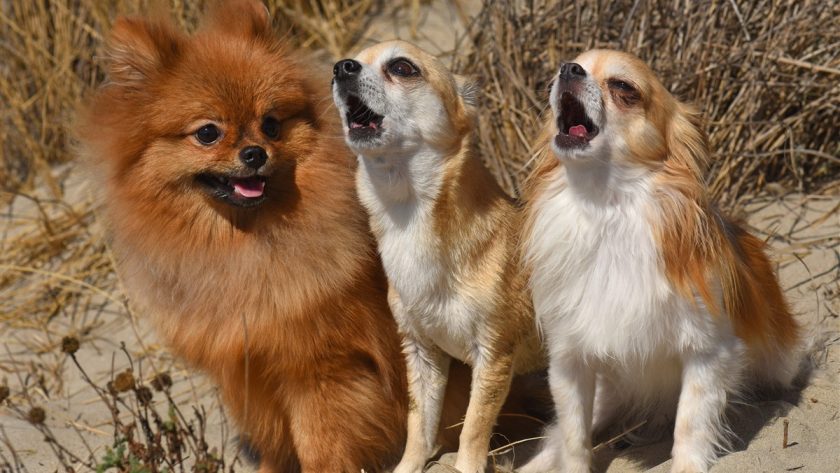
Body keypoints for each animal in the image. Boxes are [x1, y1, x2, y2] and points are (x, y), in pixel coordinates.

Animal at [75, 1, 410, 470]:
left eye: (270, 125)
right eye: (207, 132)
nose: (254, 153)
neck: (242, 246)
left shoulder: (323, 368)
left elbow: (320, 442)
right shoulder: (249, 372)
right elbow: (276, 441)